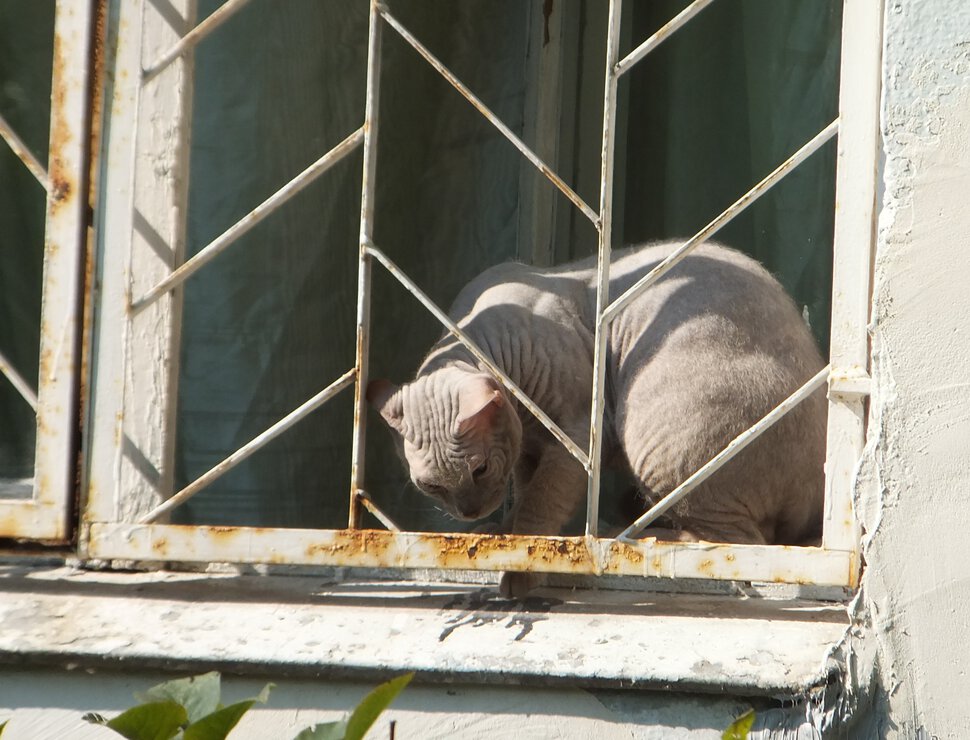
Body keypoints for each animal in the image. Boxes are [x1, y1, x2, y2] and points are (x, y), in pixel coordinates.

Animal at [366, 243, 820, 596]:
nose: (470, 512)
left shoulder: (576, 435)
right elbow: (525, 498)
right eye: (431, 487)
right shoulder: (529, 446)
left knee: (741, 548)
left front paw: (518, 568)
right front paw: (498, 535)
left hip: (656, 434)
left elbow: (540, 504)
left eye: (478, 470)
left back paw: (636, 535)